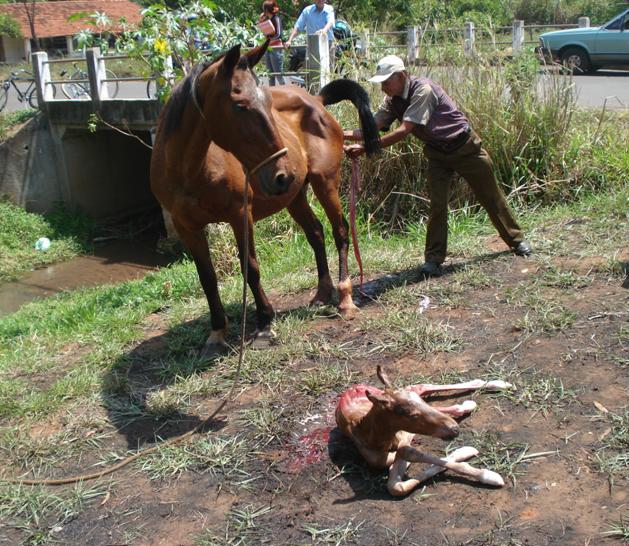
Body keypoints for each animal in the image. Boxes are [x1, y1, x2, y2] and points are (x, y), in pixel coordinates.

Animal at [150, 42, 380, 356]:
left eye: (269, 103)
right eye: (240, 105)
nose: (283, 174)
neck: (189, 170)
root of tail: (317, 100)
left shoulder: (239, 214)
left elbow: (251, 268)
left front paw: (264, 325)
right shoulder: (187, 227)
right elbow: (207, 278)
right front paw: (217, 332)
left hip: (325, 184)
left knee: (340, 231)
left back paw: (345, 298)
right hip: (295, 198)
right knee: (316, 233)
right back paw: (322, 292)